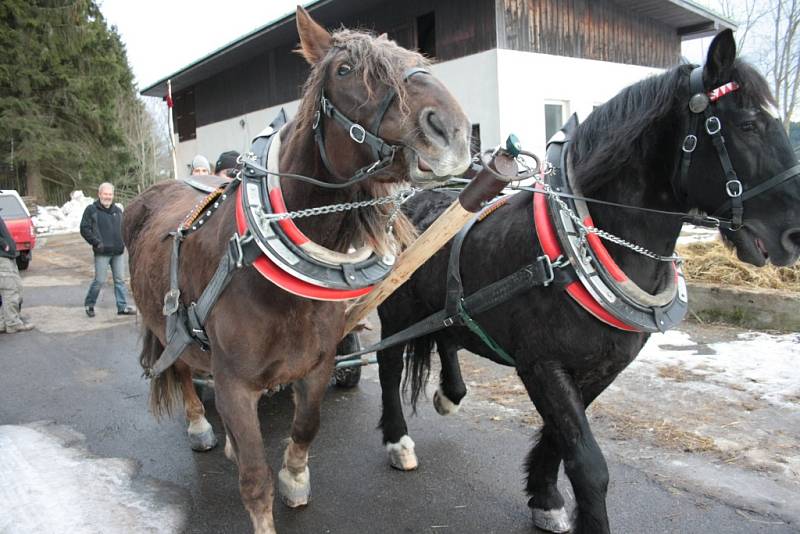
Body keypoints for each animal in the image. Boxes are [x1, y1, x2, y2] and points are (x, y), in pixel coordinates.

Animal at [122, 6, 472, 532]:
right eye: (344, 70)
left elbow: (307, 426)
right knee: (181, 371)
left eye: (415, 57)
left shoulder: (316, 365)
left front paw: (294, 478)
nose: (450, 131)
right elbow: (253, 477)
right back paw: (201, 425)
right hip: (165, 327)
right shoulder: (236, 383)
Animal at [376, 30, 800, 534]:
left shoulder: (602, 368)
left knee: (448, 335)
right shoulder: (542, 365)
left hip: (447, 308)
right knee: (387, 367)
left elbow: (560, 441)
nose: (794, 234)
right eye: (749, 125)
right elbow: (587, 462)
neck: (571, 248)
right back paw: (398, 441)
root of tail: (407, 201)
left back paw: (450, 394)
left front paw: (543, 496)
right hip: (394, 315)